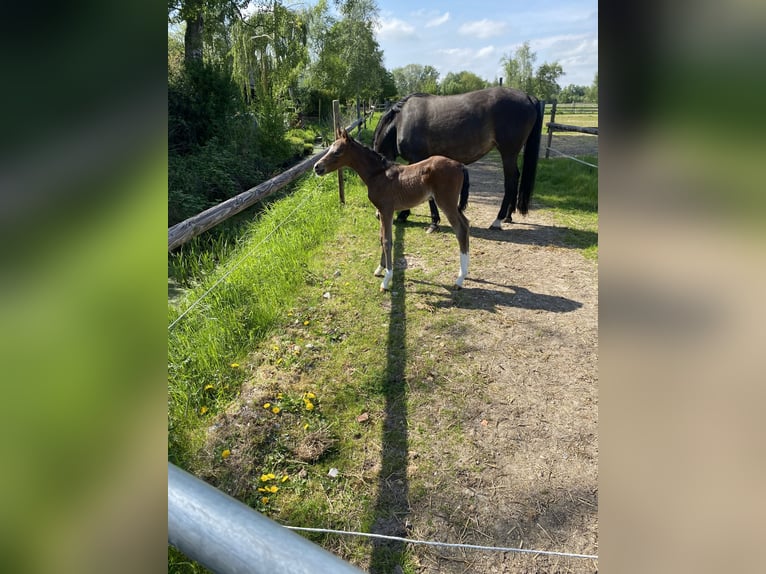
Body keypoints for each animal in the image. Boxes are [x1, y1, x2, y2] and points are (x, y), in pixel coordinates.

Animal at [313, 129, 470, 291]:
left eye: (337, 152)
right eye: (330, 148)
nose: (317, 167)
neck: (378, 174)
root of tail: (460, 165)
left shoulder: (386, 210)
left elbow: (387, 240)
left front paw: (386, 280)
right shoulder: (382, 212)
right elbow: (381, 238)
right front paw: (379, 269)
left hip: (446, 202)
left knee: (460, 230)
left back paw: (460, 279)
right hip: (452, 204)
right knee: (466, 224)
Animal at [373, 86, 544, 230]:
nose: (378, 215)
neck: (401, 120)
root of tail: (527, 96)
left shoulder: (418, 159)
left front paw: (430, 221)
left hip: (508, 153)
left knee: (511, 181)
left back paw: (498, 220)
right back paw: (508, 216)